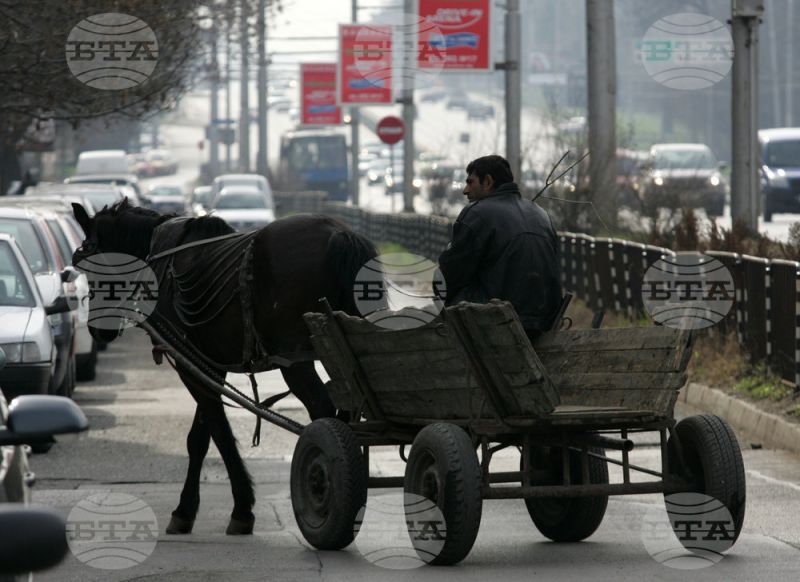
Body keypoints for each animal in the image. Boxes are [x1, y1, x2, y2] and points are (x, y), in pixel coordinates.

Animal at [71, 202, 378, 540]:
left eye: (89, 267)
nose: (98, 331)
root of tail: (339, 234)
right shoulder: (208, 366)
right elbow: (200, 437)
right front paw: (189, 509)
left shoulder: (191, 366)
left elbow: (218, 432)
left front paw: (238, 509)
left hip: (296, 361)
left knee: (325, 414)